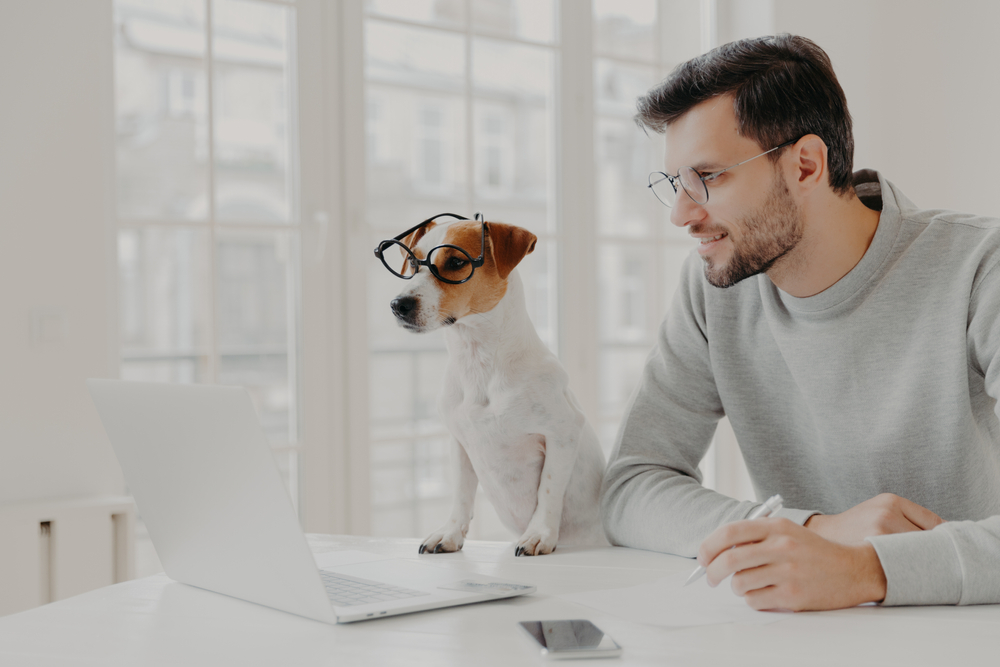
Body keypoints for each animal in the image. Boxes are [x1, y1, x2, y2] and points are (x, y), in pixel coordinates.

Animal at [378, 215, 604, 560]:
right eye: (413, 262)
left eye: (456, 262)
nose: (397, 304)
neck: (479, 363)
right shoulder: (459, 442)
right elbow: (461, 493)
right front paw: (450, 533)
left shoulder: (563, 432)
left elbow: (550, 488)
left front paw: (539, 534)